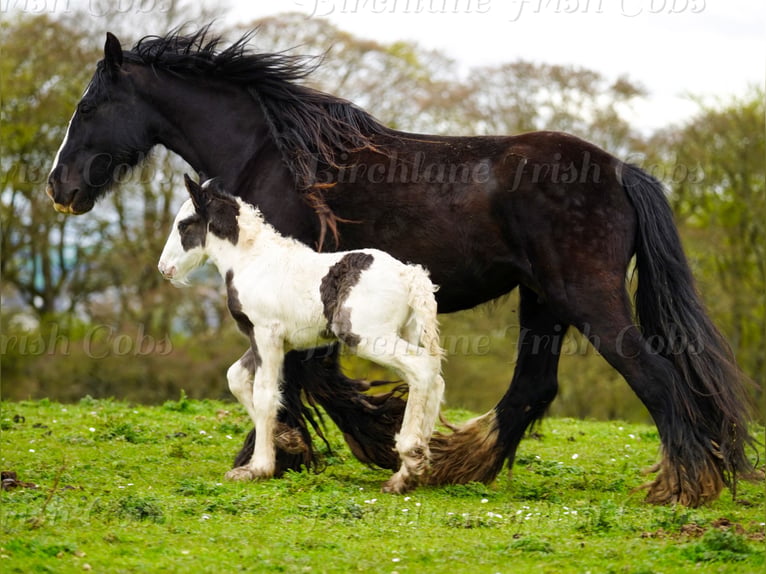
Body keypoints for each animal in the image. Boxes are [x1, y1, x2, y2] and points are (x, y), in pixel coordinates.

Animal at [158, 175, 444, 493]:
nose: (164, 268)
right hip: (403, 334)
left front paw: (257, 468)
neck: (252, 261)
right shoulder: (273, 341)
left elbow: (265, 394)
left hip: (369, 338)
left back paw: (411, 456)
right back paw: (407, 473)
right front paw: (288, 438)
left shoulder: (266, 334)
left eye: (184, 225)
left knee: (422, 369)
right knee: (432, 378)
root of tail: (411, 276)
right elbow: (237, 378)